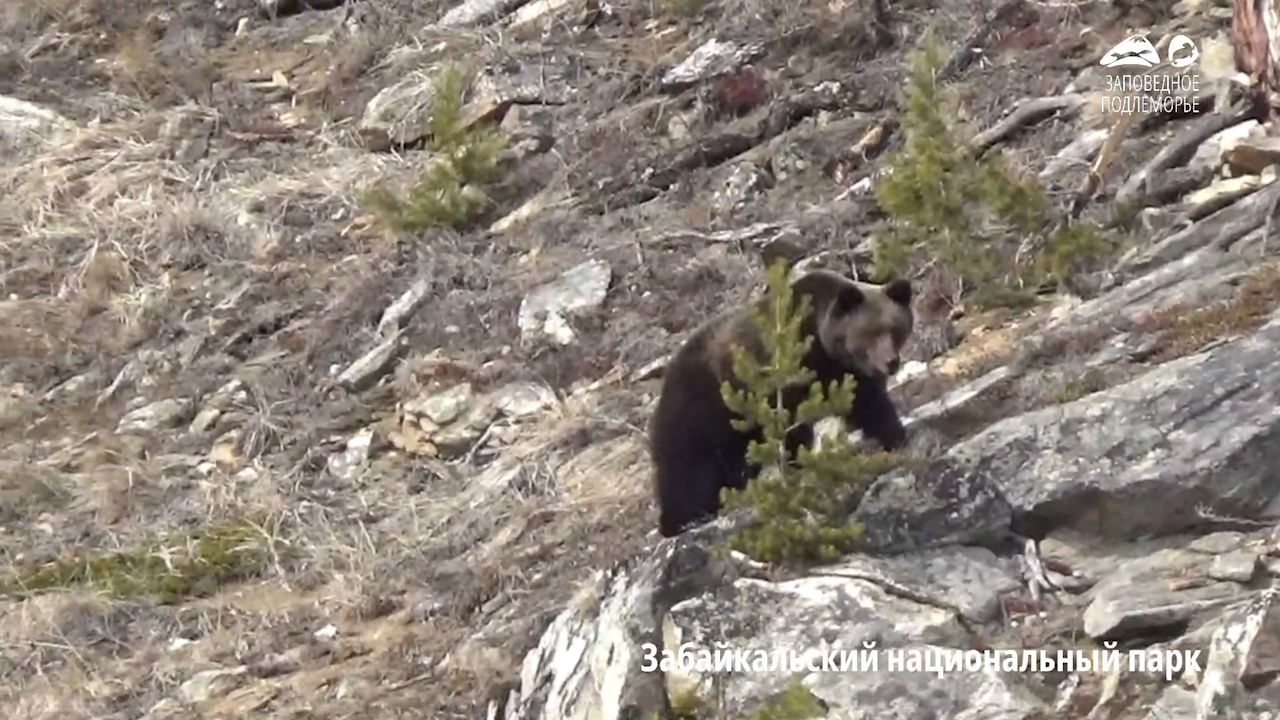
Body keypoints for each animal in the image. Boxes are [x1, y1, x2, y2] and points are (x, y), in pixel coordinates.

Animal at [650, 266, 911, 535]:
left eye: (895, 329)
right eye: (870, 332)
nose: (891, 362)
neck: (824, 347)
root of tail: (667, 376)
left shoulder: (849, 376)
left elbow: (872, 406)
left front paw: (896, 438)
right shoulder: (789, 371)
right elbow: (791, 424)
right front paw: (797, 465)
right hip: (700, 408)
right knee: (688, 471)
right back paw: (681, 520)